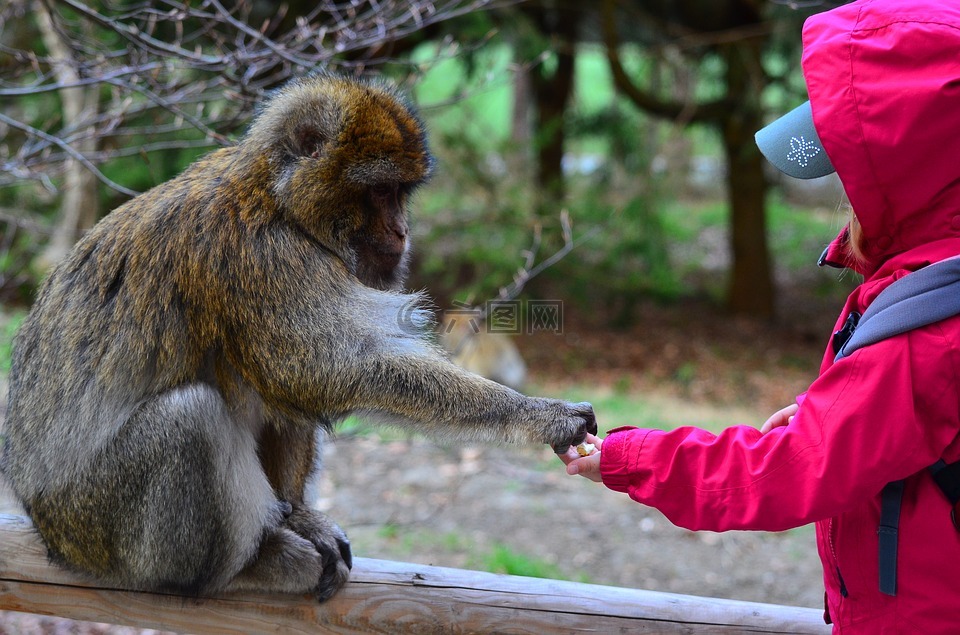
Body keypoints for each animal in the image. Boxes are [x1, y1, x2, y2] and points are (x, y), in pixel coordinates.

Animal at [1, 74, 592, 600]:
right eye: (381, 191)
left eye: (403, 192)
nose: (403, 232)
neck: (276, 199)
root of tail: (43, 520)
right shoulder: (259, 257)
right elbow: (326, 370)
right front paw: (538, 414)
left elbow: (300, 386)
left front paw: (302, 516)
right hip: (94, 523)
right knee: (191, 418)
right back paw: (236, 571)